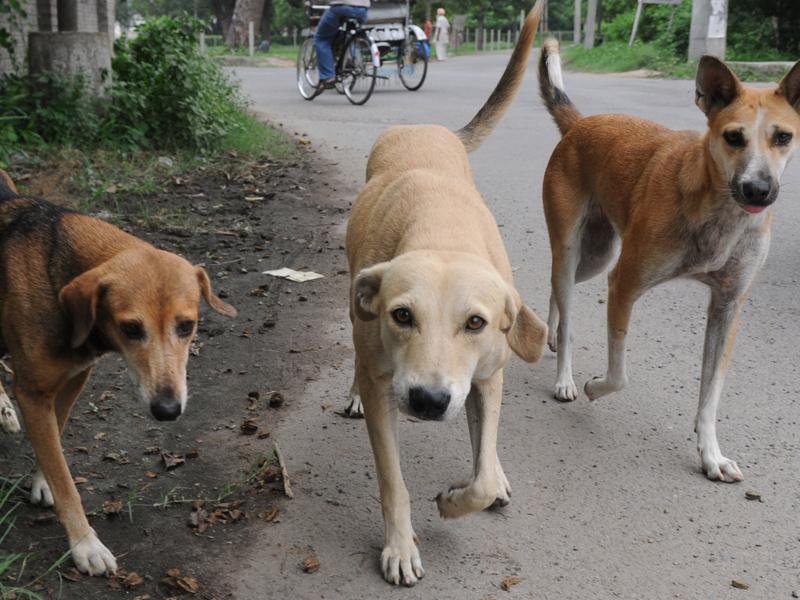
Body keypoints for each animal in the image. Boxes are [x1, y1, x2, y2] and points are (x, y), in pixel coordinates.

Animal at [0, 171, 238, 576]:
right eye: (130, 329)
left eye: (187, 326)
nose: (167, 411)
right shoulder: (32, 391)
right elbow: (66, 479)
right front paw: (84, 543)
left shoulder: (73, 380)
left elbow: (54, 439)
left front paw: (42, 480)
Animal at [346, 2, 548, 588]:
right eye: (401, 315)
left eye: (475, 323)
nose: (428, 402)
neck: (441, 230)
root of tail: (423, 126)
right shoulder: (384, 389)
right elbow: (393, 483)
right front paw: (399, 546)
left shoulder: (489, 375)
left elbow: (481, 474)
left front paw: (468, 492)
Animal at [536, 41, 800, 482]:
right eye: (733, 137)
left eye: (783, 136)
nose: (758, 190)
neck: (718, 210)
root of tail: (581, 124)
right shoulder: (623, 285)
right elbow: (618, 375)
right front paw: (593, 387)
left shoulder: (728, 307)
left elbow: (711, 393)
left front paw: (711, 453)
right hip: (575, 247)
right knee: (566, 304)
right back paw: (566, 377)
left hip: (594, 256)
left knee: (558, 288)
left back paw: (552, 335)